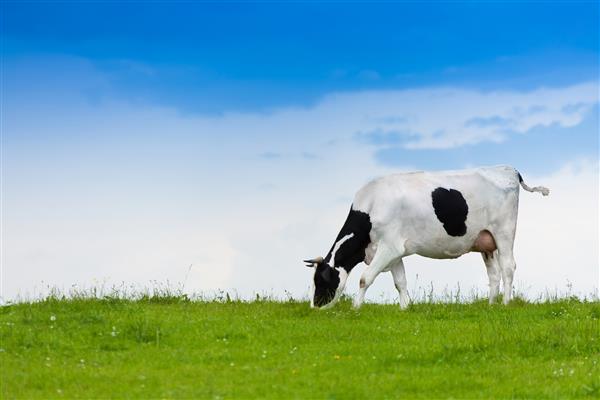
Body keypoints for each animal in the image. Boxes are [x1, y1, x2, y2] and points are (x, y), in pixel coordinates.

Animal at [304, 166, 548, 310]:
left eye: (321, 280)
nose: (314, 307)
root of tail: (509, 169)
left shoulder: (389, 247)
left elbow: (365, 278)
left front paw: (356, 308)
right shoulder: (395, 251)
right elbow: (400, 281)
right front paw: (405, 308)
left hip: (504, 233)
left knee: (508, 267)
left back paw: (505, 303)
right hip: (486, 241)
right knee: (494, 273)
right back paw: (490, 305)